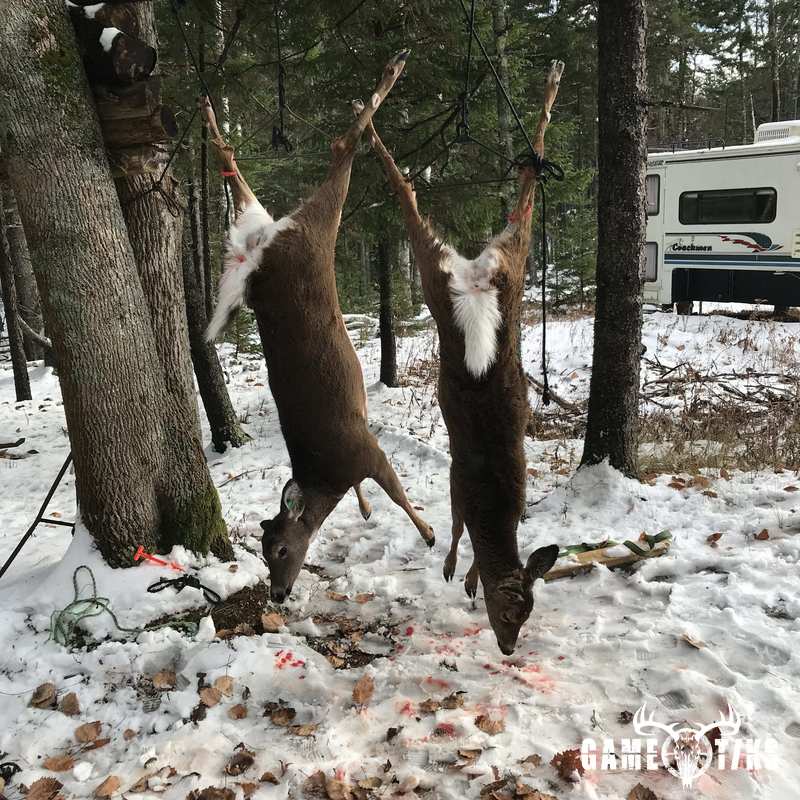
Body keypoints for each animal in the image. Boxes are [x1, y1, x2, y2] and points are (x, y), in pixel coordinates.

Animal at [201, 51, 434, 604]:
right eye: (263, 553)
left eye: (282, 549)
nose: (277, 594)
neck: (324, 477)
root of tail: (256, 255)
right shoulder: (362, 452)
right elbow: (381, 495)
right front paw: (370, 511)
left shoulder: (367, 450)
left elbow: (397, 494)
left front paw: (428, 532)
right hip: (291, 228)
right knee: (247, 173)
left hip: (309, 232)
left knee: (337, 151)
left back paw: (388, 74)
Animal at [361, 60, 565, 654]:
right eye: (510, 610)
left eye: (527, 614)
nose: (509, 647)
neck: (495, 511)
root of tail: (474, 274)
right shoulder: (459, 486)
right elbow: (453, 528)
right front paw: (457, 569)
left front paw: (467, 574)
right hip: (459, 268)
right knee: (407, 188)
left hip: (498, 261)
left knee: (519, 194)